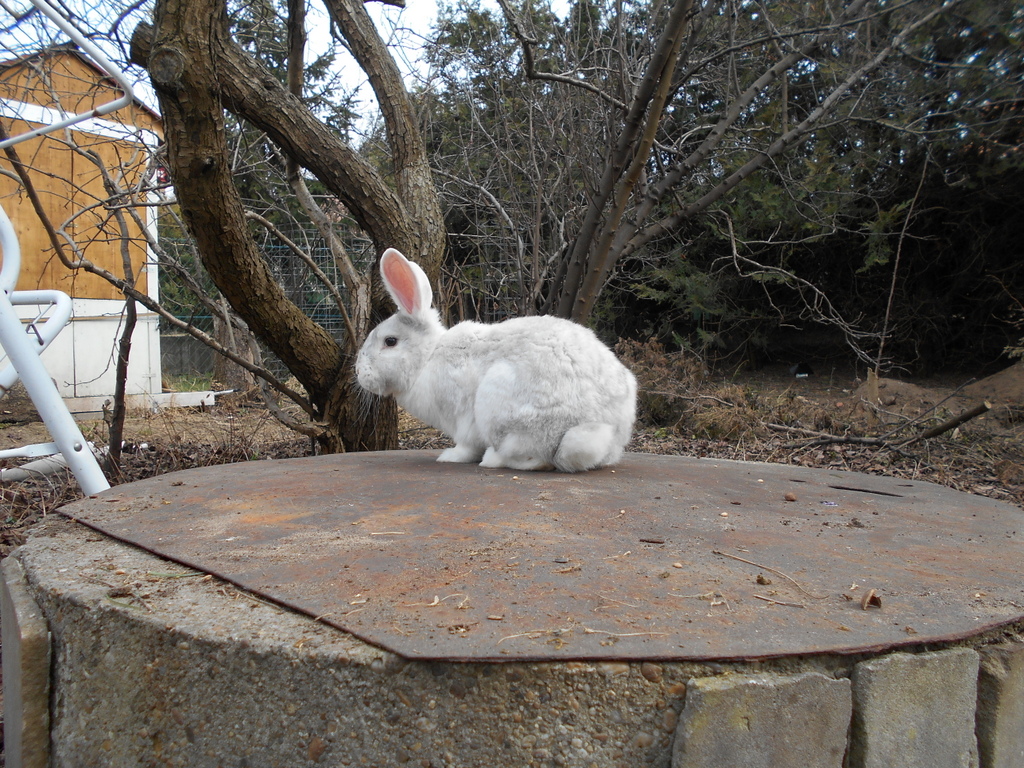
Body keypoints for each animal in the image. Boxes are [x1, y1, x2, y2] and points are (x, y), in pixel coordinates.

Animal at [356, 248, 637, 472]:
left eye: (390, 341)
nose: (359, 373)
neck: (428, 357)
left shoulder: (463, 420)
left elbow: (466, 446)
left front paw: (450, 457)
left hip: (501, 406)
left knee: (534, 458)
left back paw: (491, 460)